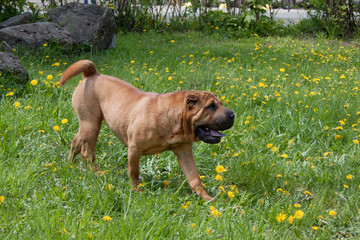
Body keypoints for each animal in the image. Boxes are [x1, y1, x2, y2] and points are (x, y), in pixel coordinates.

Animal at [60, 60, 235, 201]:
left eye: (220, 103)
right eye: (211, 106)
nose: (233, 114)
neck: (173, 119)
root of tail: (93, 73)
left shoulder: (185, 153)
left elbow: (195, 178)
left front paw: (207, 198)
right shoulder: (134, 149)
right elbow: (134, 172)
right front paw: (136, 190)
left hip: (86, 125)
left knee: (75, 142)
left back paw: (70, 166)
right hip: (91, 125)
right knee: (87, 152)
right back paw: (95, 174)